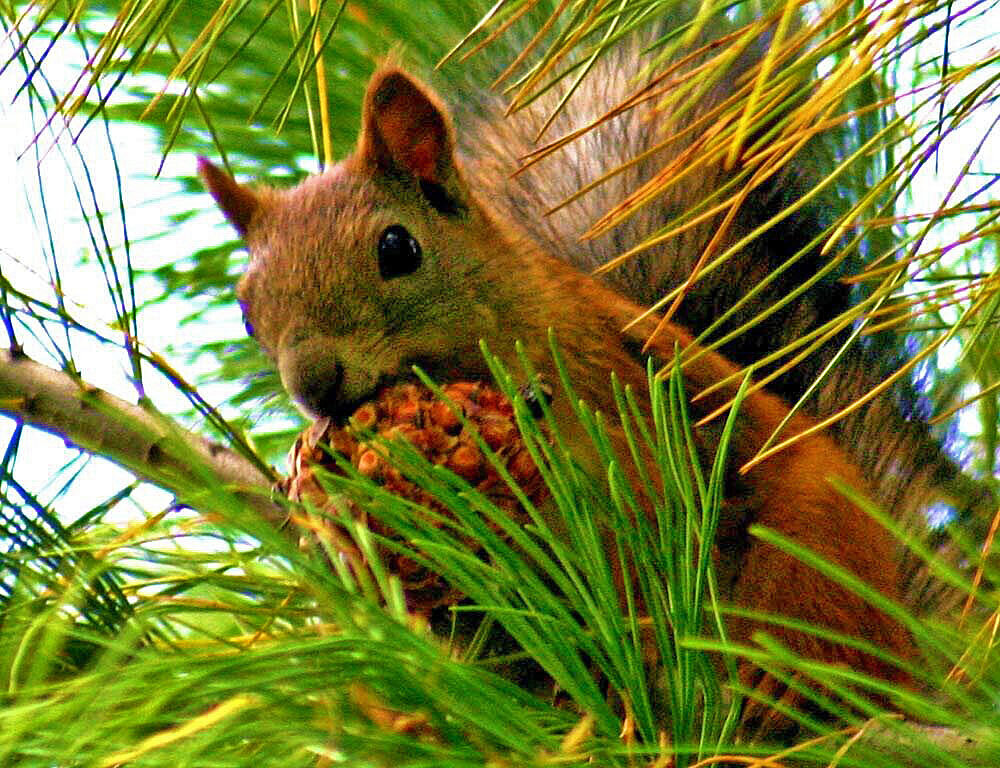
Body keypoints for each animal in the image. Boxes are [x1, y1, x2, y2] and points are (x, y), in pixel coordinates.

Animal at [191, 46, 916, 732]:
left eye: (398, 248)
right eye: (246, 309)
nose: (313, 384)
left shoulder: (612, 397)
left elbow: (634, 491)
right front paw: (322, 491)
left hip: (812, 553)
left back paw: (780, 683)